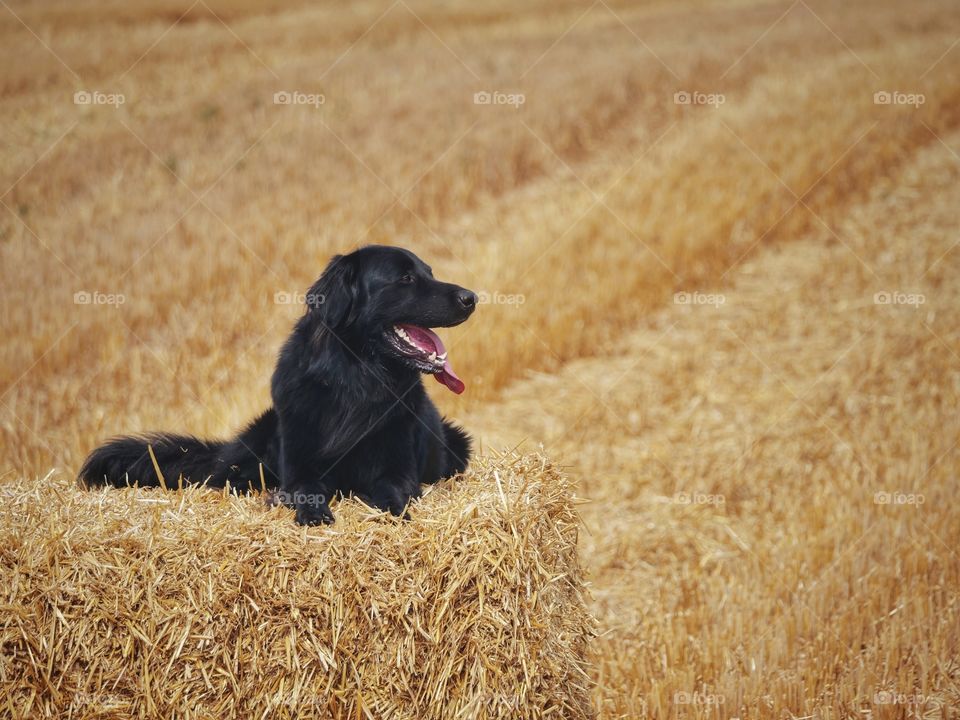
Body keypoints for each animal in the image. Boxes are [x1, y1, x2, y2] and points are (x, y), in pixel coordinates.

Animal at [80, 246, 478, 524]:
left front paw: (395, 513)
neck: (355, 382)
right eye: (406, 278)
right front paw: (311, 513)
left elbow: (394, 492)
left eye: (429, 272)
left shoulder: (397, 469)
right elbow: (306, 490)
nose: (472, 297)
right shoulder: (299, 465)